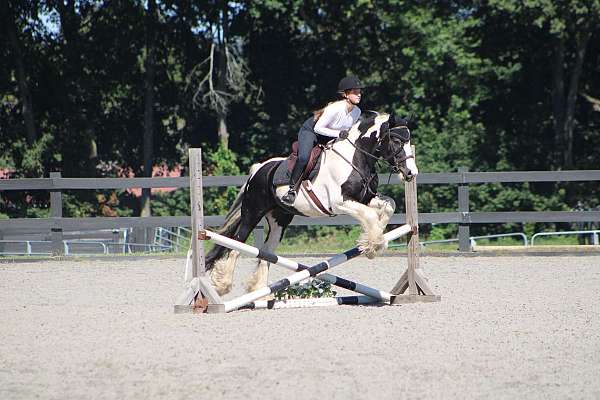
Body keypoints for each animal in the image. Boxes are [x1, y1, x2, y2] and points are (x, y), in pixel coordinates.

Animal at [205, 111, 418, 296]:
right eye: (397, 141)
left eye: (409, 141)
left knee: (266, 252)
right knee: (237, 244)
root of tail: (259, 169)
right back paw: (223, 285)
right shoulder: (339, 203)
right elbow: (370, 214)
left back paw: (260, 293)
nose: (411, 173)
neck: (356, 158)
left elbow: (388, 205)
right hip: (252, 212)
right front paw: (373, 245)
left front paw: (375, 238)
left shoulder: (365, 199)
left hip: (280, 220)